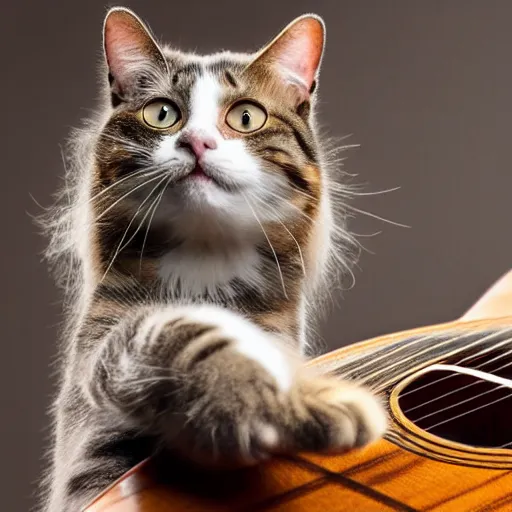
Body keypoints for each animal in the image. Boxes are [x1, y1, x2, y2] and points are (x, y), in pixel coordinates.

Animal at [40, 8, 386, 512]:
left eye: (246, 117)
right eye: (161, 113)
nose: (198, 142)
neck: (205, 260)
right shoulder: (103, 355)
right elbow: (187, 332)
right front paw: (287, 400)